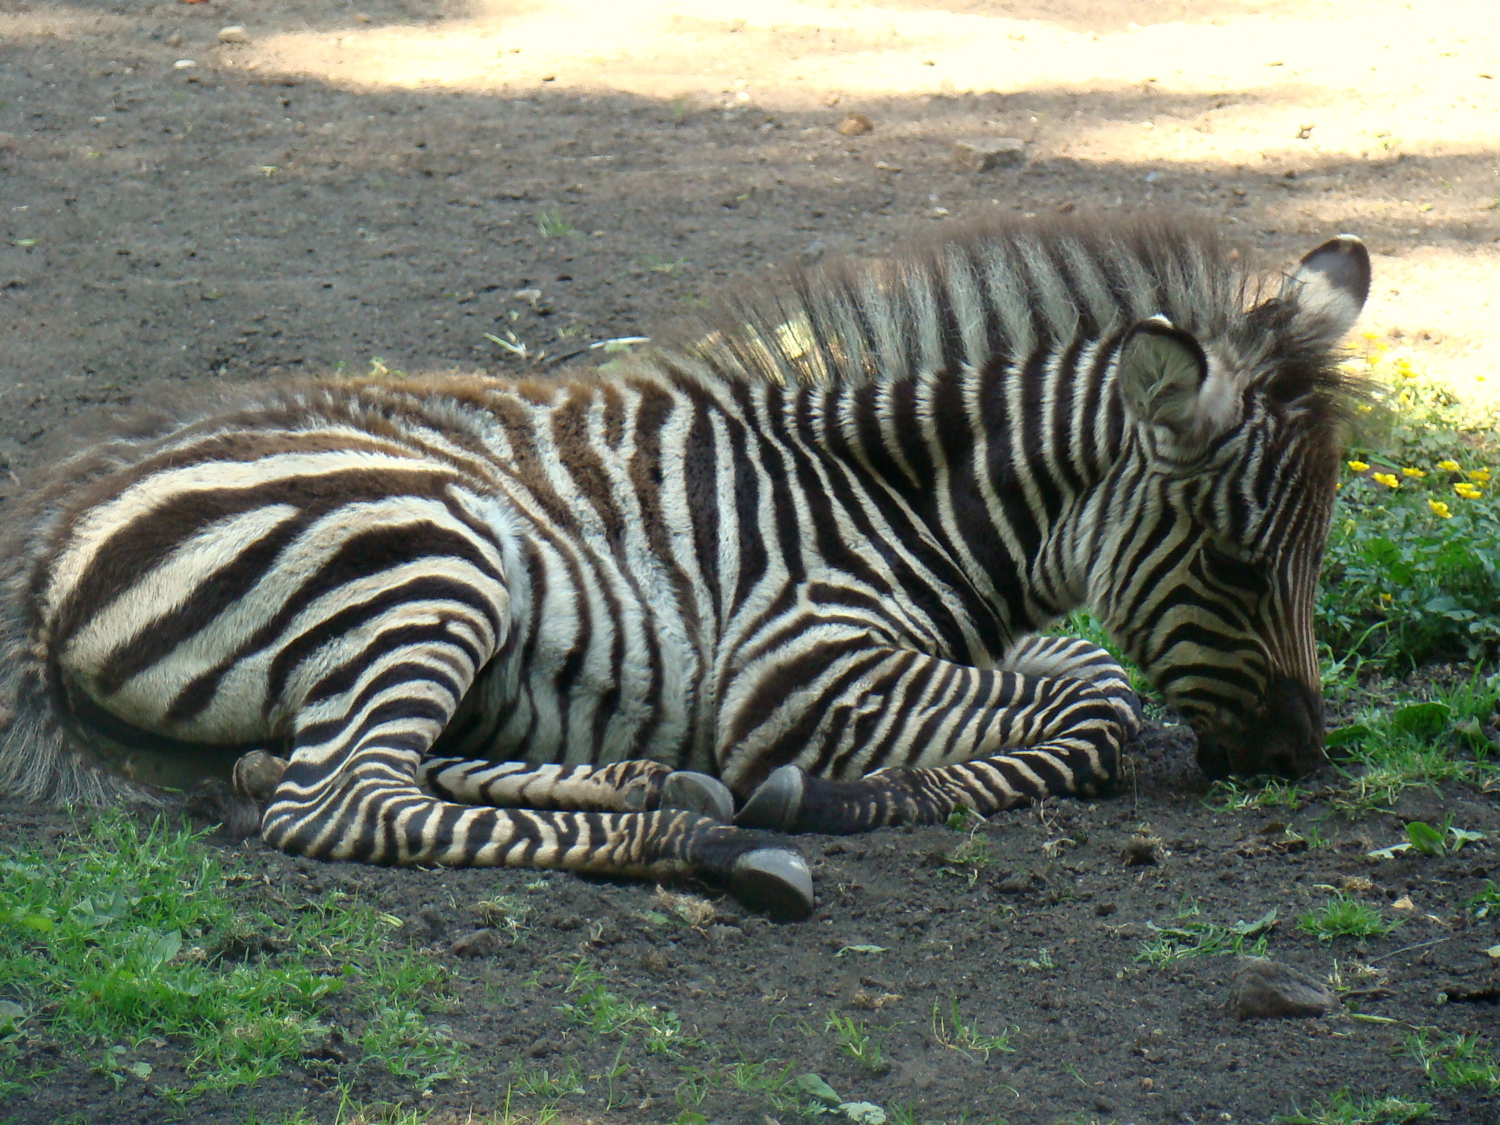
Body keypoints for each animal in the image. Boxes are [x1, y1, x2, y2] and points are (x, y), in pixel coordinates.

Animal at [0, 216, 1374, 918]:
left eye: (1314, 553)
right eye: (1237, 562)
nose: (1301, 761)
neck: (906, 500)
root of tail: (62, 524)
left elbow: (1090, 677)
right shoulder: (803, 670)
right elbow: (1094, 717)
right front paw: (824, 797)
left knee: (295, 772)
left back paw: (654, 783)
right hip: (427, 559)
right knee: (340, 803)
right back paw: (712, 841)